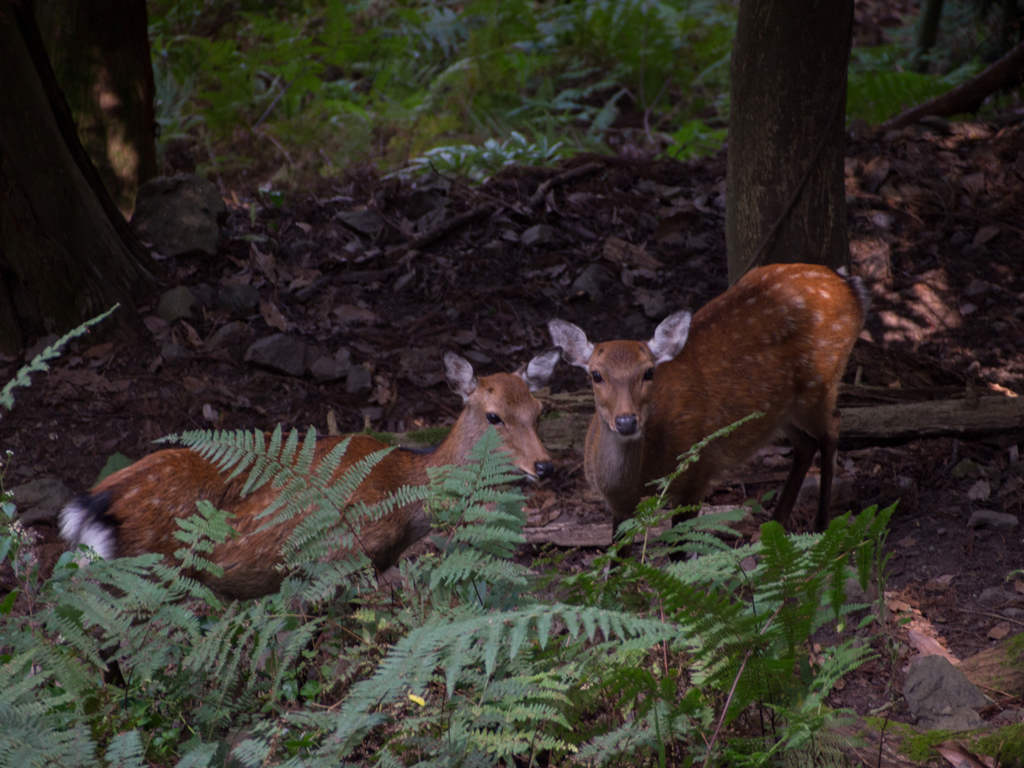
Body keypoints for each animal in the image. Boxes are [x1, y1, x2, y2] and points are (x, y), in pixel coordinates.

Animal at [59, 350, 561, 602]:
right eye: (493, 416)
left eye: (540, 410)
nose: (545, 465)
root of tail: (96, 503)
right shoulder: (337, 556)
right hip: (145, 575)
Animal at [548, 266, 868, 540]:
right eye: (596, 374)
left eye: (649, 371)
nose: (627, 421)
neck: (636, 485)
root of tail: (850, 286)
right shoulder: (619, 510)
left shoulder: (697, 474)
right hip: (781, 409)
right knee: (806, 443)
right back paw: (773, 524)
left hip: (820, 383)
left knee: (832, 428)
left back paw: (821, 523)